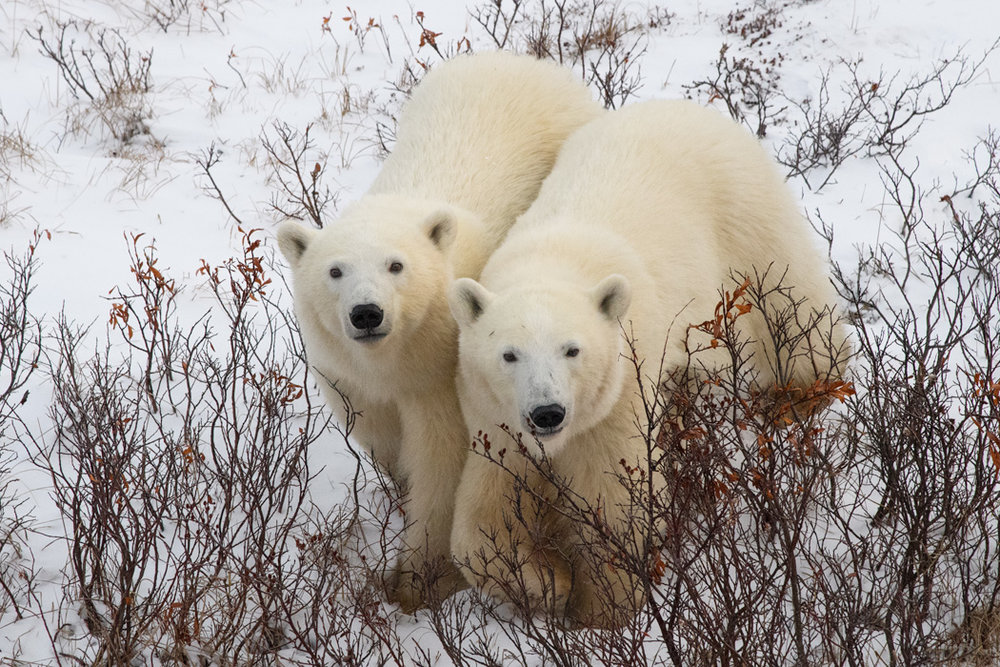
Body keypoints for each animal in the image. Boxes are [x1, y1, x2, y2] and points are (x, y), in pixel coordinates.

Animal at [276, 49, 600, 612]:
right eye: (335, 271)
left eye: (396, 265)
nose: (366, 313)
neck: (395, 359)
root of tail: (525, 61)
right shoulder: (353, 381)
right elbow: (385, 441)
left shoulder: (441, 371)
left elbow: (441, 461)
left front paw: (418, 583)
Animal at [450, 98, 848, 628]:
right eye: (508, 354)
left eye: (572, 349)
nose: (547, 413)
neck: (552, 263)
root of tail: (681, 105)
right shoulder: (495, 420)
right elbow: (483, 513)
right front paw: (548, 584)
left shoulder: (617, 399)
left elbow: (615, 501)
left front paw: (603, 614)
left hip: (741, 214)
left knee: (788, 306)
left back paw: (806, 393)